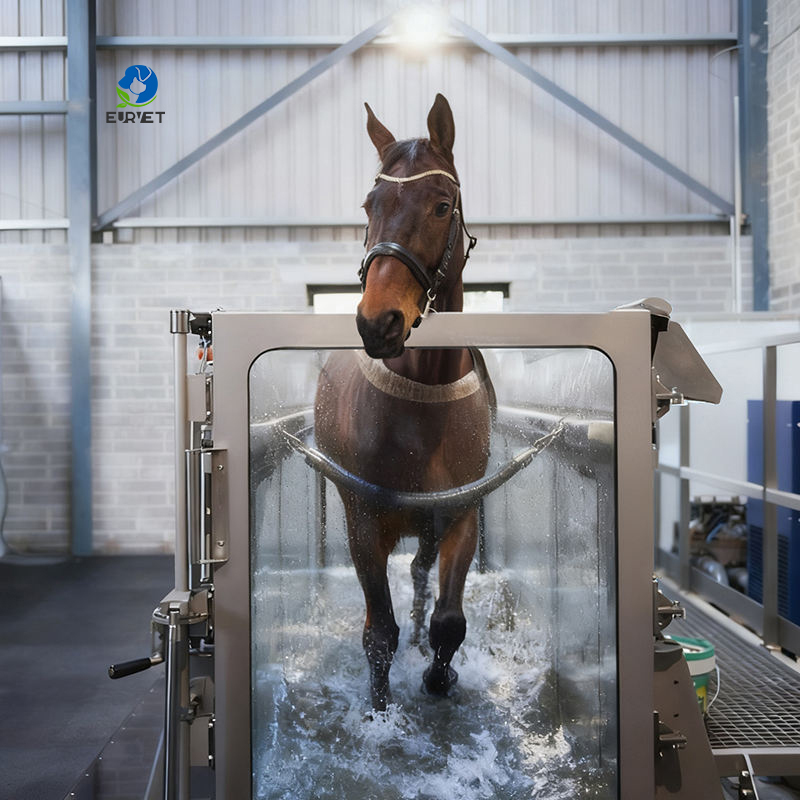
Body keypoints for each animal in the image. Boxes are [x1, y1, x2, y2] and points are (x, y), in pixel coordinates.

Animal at [314, 94, 494, 711]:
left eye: (441, 205)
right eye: (370, 205)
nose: (378, 321)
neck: (426, 408)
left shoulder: (461, 514)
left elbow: (449, 621)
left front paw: (439, 677)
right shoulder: (363, 525)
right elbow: (378, 633)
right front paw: (379, 710)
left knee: (418, 575)